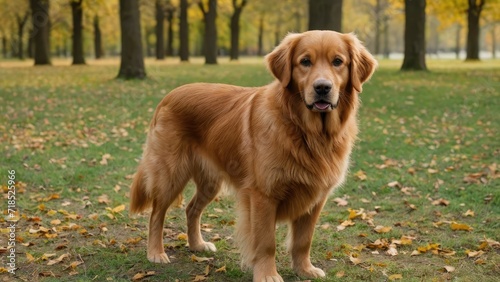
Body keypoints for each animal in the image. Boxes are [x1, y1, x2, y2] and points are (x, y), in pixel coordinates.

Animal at [131, 29, 376, 280]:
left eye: (338, 62)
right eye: (305, 61)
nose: (322, 88)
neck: (306, 131)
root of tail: (167, 97)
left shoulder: (315, 197)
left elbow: (303, 240)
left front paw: (305, 269)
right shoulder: (263, 195)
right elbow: (267, 242)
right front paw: (267, 274)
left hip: (210, 182)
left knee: (191, 209)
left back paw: (197, 244)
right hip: (170, 174)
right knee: (156, 213)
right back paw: (156, 252)